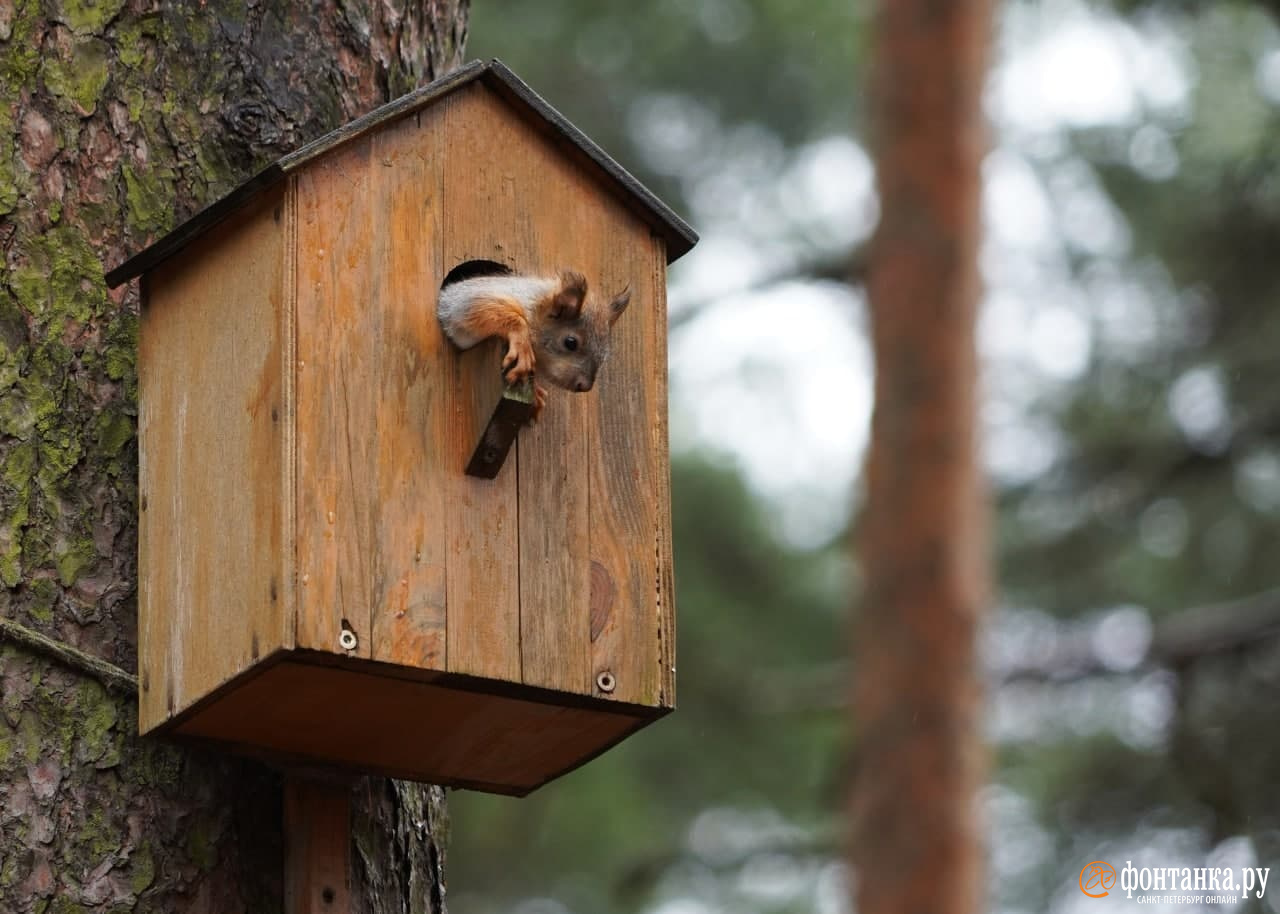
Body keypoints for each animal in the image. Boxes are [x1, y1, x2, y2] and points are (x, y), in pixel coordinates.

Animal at [437, 267, 632, 417]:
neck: (533, 307)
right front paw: (522, 345)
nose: (584, 386)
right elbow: (481, 309)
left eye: (605, 354)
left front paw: (536, 392)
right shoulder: (465, 301)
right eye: (570, 342)